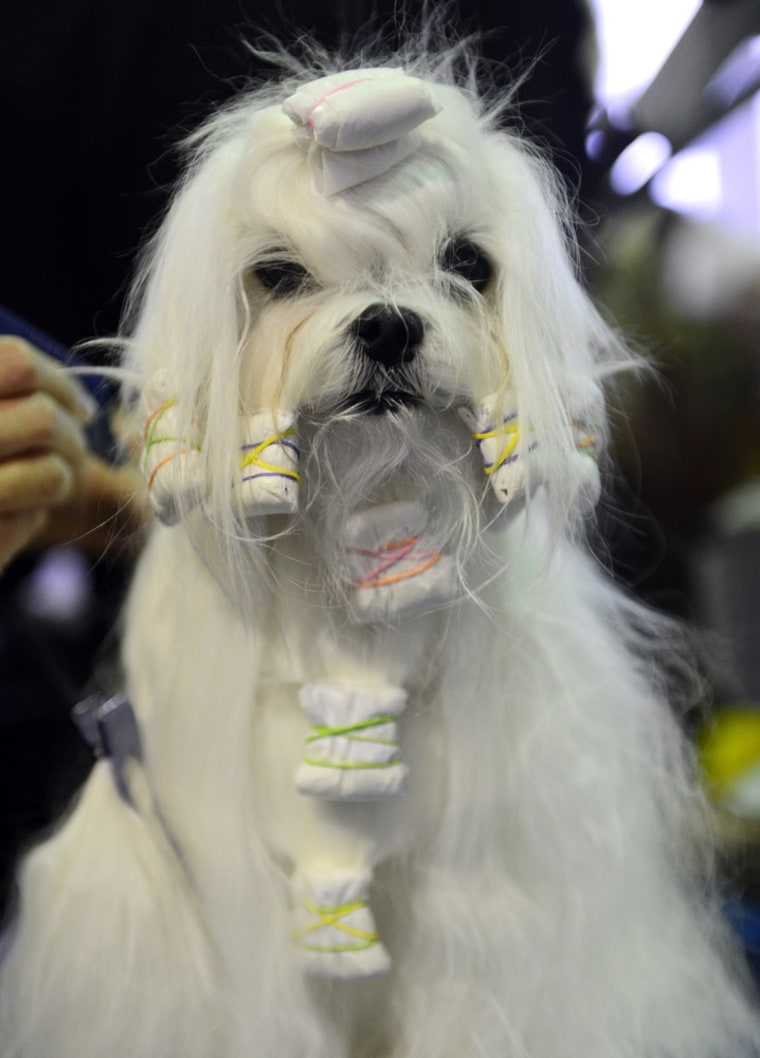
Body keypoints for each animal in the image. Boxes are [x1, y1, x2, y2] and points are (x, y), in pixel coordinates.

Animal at [1, 47, 760, 1058]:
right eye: (276, 273)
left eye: (467, 263)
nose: (390, 324)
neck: (363, 546)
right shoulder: (227, 891)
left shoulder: (483, 896)